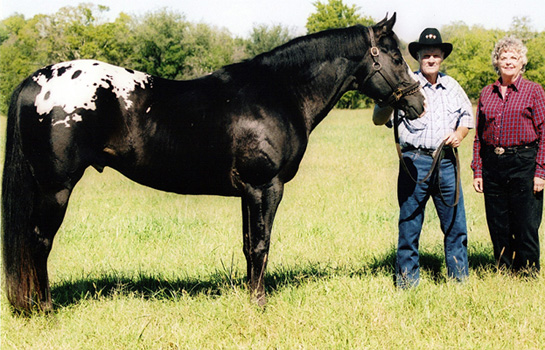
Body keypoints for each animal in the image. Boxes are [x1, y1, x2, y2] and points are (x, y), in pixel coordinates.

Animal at [2, 15, 422, 314]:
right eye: (395, 57)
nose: (418, 103)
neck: (279, 92)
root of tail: (34, 82)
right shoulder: (266, 186)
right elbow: (262, 245)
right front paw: (259, 304)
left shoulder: (248, 192)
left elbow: (249, 244)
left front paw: (250, 296)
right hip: (56, 189)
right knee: (39, 242)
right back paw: (44, 308)